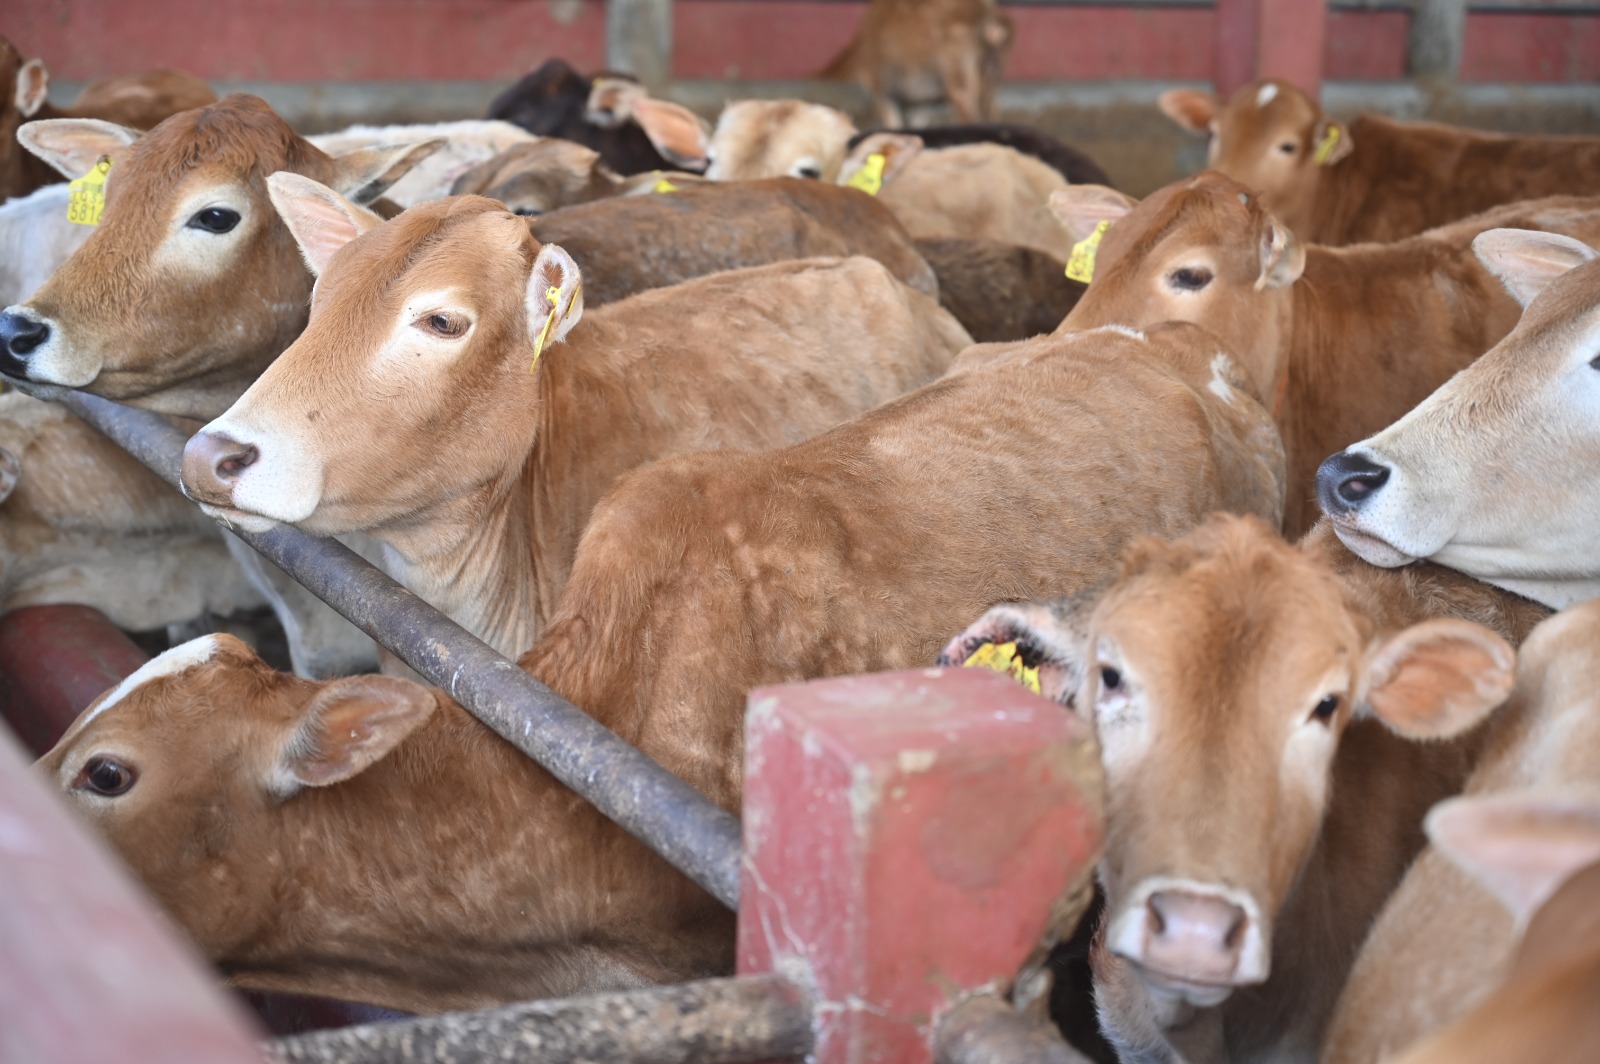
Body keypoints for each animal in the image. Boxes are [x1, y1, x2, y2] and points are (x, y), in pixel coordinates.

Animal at [818, 0, 1013, 126]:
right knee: (993, 116)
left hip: (958, 76)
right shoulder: (921, 102)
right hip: (991, 75)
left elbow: (894, 125)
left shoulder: (881, 87)